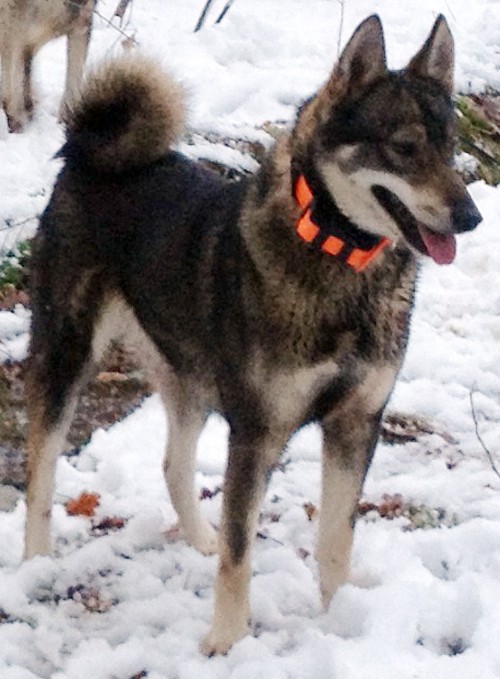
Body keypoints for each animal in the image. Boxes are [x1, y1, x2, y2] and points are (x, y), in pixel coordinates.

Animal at [24, 14, 481, 655]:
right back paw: (34, 565)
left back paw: (198, 539)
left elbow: (335, 537)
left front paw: (342, 617)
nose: (471, 217)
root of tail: (89, 156)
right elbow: (240, 551)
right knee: (40, 469)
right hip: (68, 353)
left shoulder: (356, 424)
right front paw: (228, 639)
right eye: (404, 147)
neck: (339, 261)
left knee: (174, 465)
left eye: (451, 147)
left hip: (188, 375)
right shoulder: (258, 433)